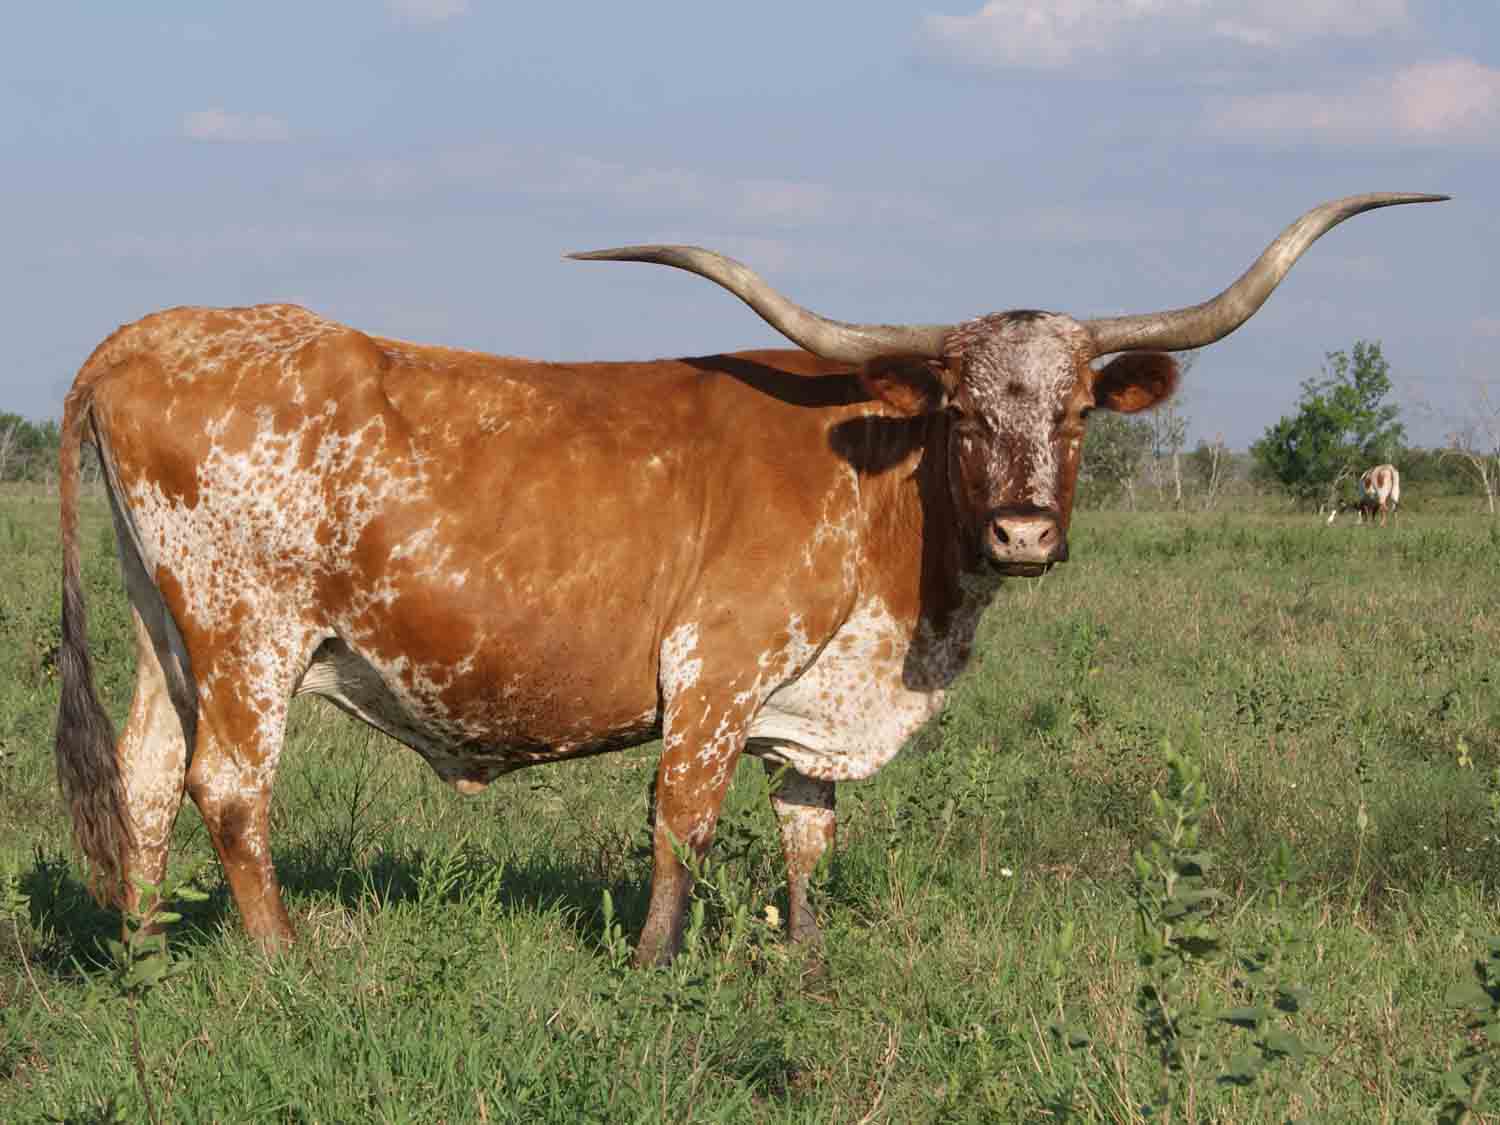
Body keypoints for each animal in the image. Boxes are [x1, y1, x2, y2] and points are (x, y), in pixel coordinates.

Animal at [55, 193, 1444, 966]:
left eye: (1075, 414)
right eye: (960, 410)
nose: (1023, 534)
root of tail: (141, 336)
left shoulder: (812, 707)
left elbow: (806, 834)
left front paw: (809, 966)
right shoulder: (714, 670)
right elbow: (686, 820)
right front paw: (656, 965)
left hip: (165, 634)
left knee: (142, 778)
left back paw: (145, 953)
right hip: (249, 634)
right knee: (231, 788)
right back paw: (284, 964)